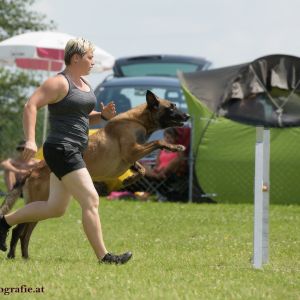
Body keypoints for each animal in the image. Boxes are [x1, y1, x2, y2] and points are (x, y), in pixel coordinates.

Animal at [0, 90, 190, 258]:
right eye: (171, 106)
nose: (187, 116)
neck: (139, 120)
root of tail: (32, 169)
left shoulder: (132, 156)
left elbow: (142, 170)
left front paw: (129, 179)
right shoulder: (132, 151)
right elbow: (158, 142)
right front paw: (175, 147)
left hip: (45, 206)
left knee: (25, 233)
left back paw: (24, 257)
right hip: (40, 202)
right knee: (18, 230)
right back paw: (11, 254)